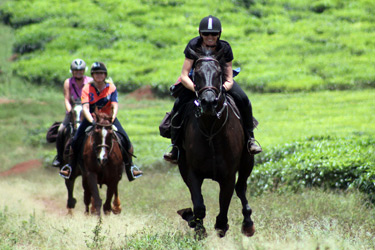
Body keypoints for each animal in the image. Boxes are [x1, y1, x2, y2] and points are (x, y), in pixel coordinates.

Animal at [178, 48, 258, 238]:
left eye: (219, 73)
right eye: (196, 74)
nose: (208, 102)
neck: (210, 131)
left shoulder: (228, 175)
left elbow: (224, 204)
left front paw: (221, 226)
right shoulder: (192, 172)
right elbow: (199, 205)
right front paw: (197, 227)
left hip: (247, 162)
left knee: (241, 188)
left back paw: (248, 224)